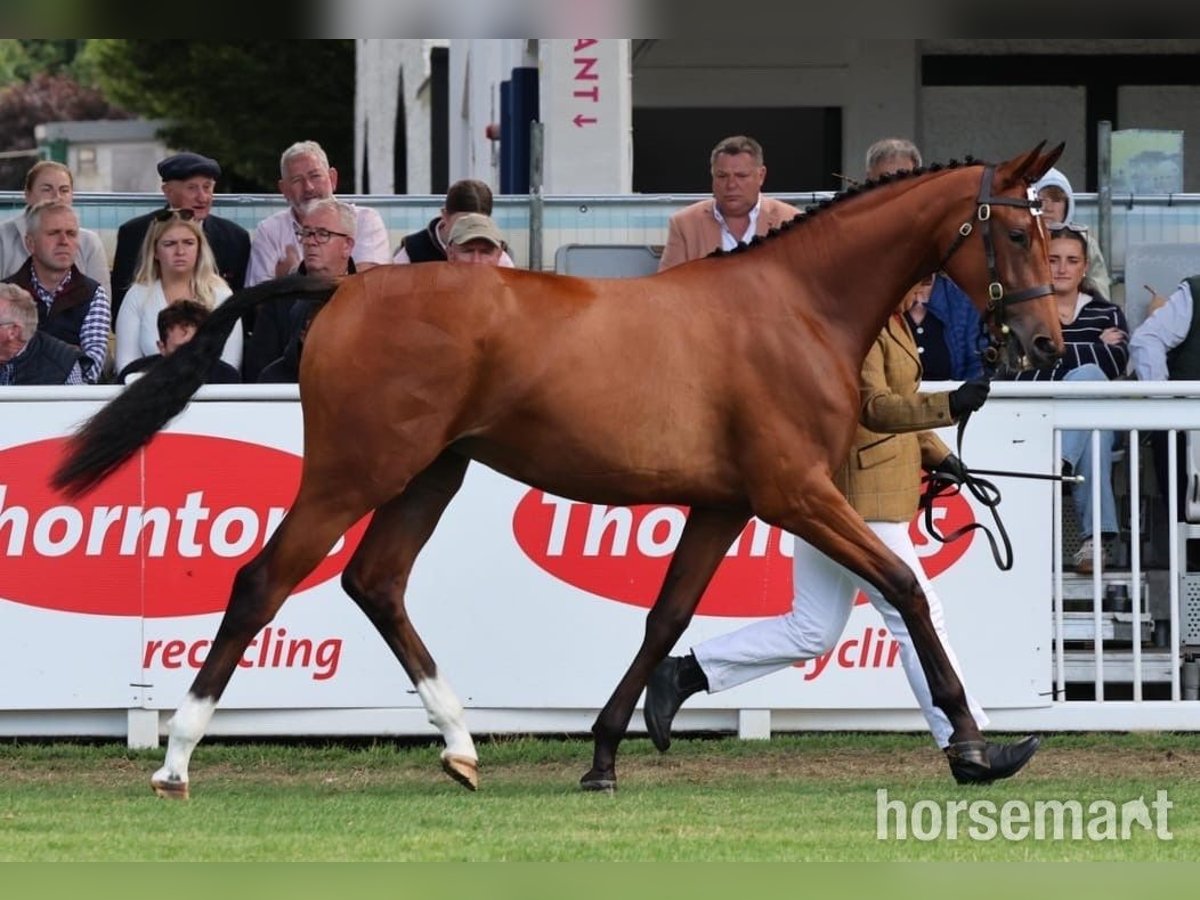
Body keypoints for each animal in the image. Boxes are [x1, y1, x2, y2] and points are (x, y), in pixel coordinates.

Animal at [53, 143, 1065, 798]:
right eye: (1014, 235)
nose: (1049, 346)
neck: (794, 305)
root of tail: (344, 284)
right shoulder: (797, 493)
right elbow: (905, 585)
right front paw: (974, 747)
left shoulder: (724, 503)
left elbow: (666, 620)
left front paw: (609, 750)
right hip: (356, 471)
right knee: (264, 579)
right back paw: (177, 757)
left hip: (432, 474)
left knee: (375, 582)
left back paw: (462, 746)